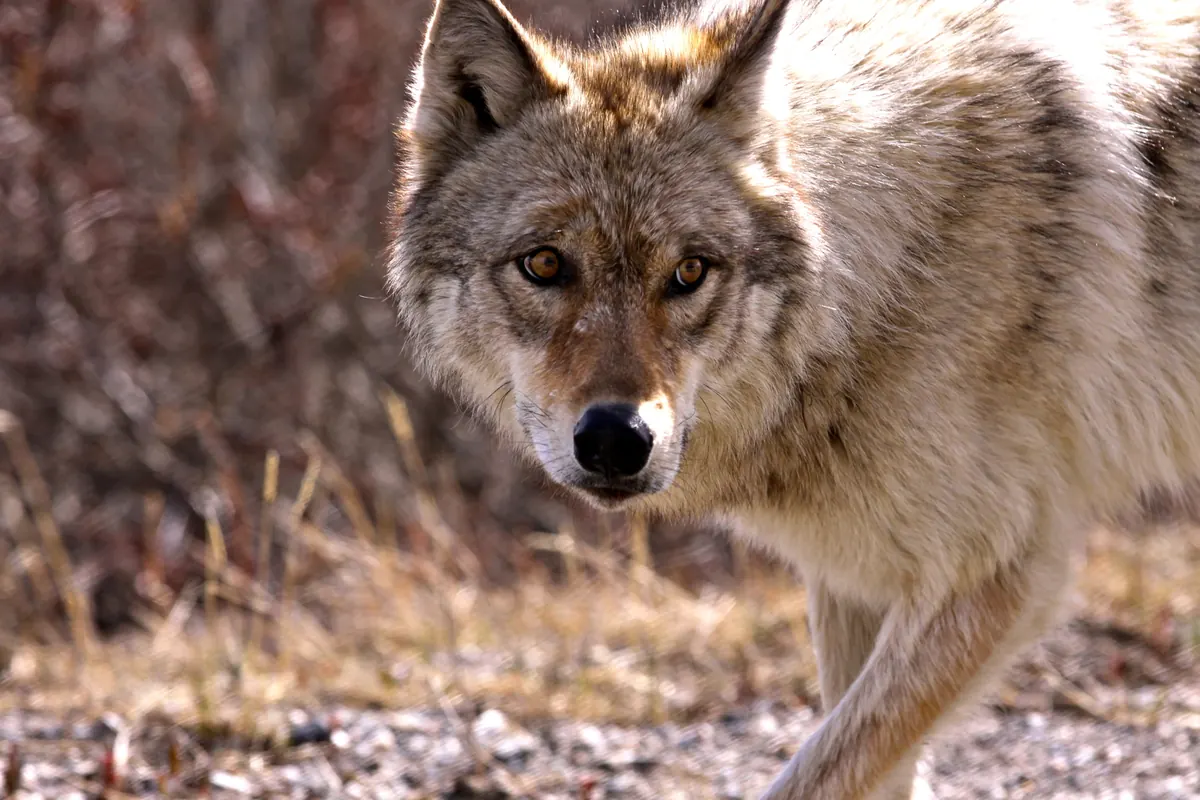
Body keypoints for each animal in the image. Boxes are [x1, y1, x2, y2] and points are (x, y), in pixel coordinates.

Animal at [385, 0, 1200, 796]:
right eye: (546, 264)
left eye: (690, 272)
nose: (618, 440)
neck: (876, 283)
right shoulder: (855, 578)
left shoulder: (992, 577)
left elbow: (818, 776)